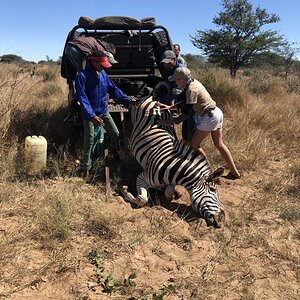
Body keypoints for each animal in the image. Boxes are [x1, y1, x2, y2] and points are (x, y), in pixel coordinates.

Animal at [122, 95, 225, 226]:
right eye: (212, 190)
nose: (222, 219)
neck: (173, 167)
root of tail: (154, 98)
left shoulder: (171, 182)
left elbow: (168, 193)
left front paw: (171, 192)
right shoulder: (142, 177)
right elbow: (142, 199)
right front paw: (126, 193)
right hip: (134, 116)